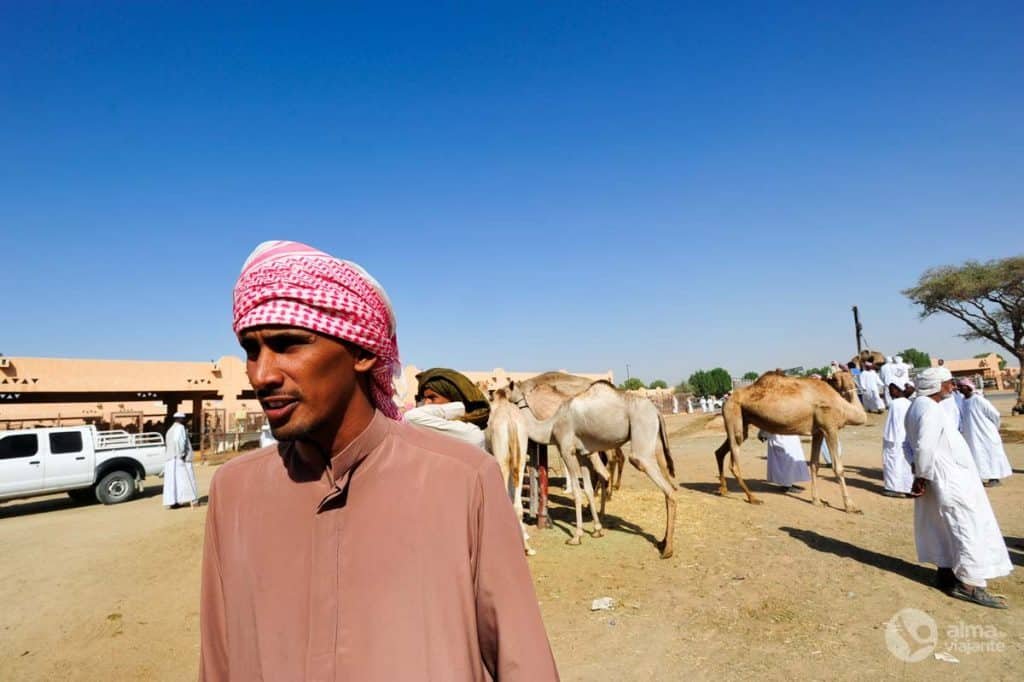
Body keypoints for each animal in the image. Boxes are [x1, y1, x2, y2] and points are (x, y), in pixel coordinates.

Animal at [505, 376, 679, 557]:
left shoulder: (566, 449)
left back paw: (667, 550)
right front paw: (597, 530)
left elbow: (577, 491)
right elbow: (588, 490)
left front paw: (576, 536)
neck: (551, 426)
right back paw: (662, 542)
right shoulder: (583, 453)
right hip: (655, 442)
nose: (496, 395)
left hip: (642, 439)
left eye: (505, 389)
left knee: (667, 489)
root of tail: (657, 412)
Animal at [716, 366, 868, 509]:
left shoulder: (818, 432)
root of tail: (726, 399)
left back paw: (723, 490)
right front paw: (851, 507)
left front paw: (817, 501)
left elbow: (814, 464)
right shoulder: (829, 427)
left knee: (720, 451)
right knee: (734, 462)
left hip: (742, 421)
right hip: (733, 413)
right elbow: (838, 468)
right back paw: (753, 498)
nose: (862, 389)